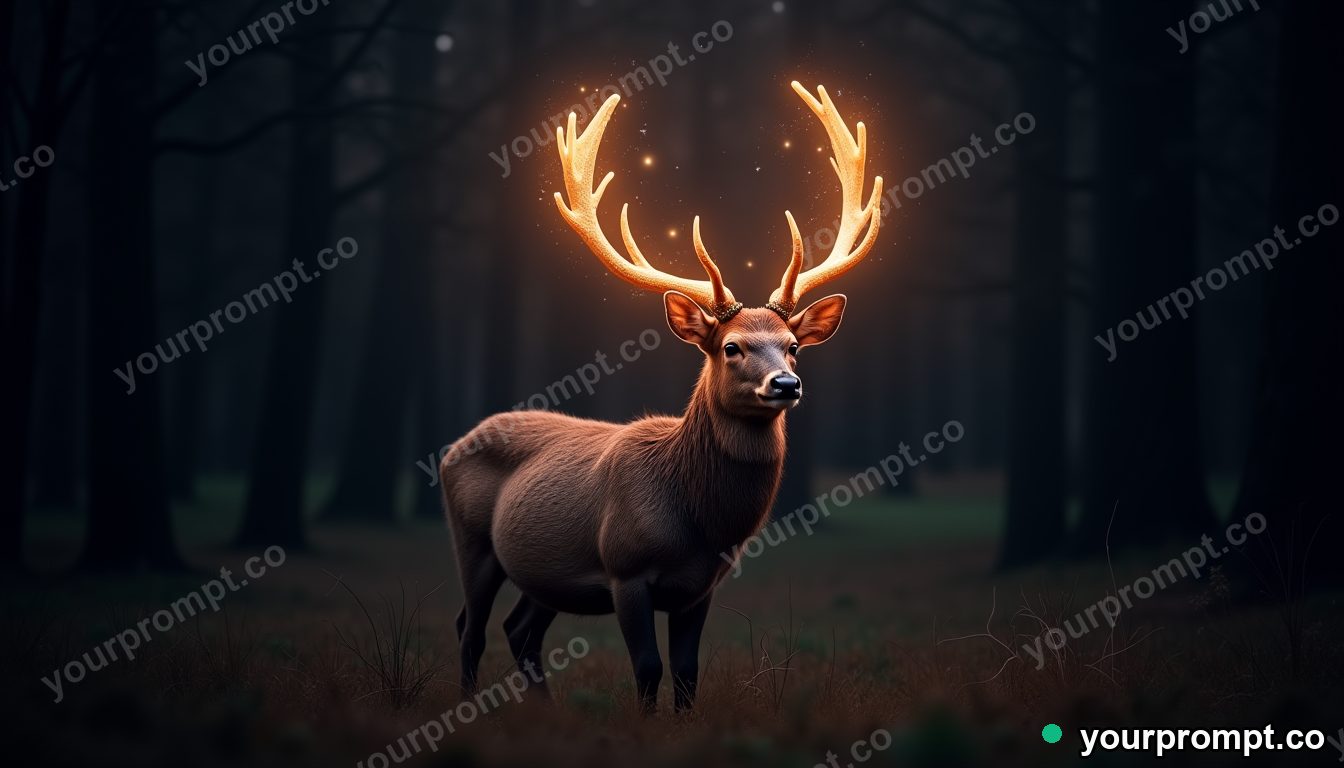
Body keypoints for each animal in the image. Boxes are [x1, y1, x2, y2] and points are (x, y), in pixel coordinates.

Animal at [440, 82, 883, 712]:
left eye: (794, 346)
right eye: (731, 347)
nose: (786, 384)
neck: (699, 523)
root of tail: (452, 447)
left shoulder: (701, 587)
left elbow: (688, 672)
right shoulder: (626, 569)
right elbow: (648, 666)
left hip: (545, 572)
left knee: (519, 629)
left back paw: (543, 711)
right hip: (473, 541)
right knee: (469, 626)